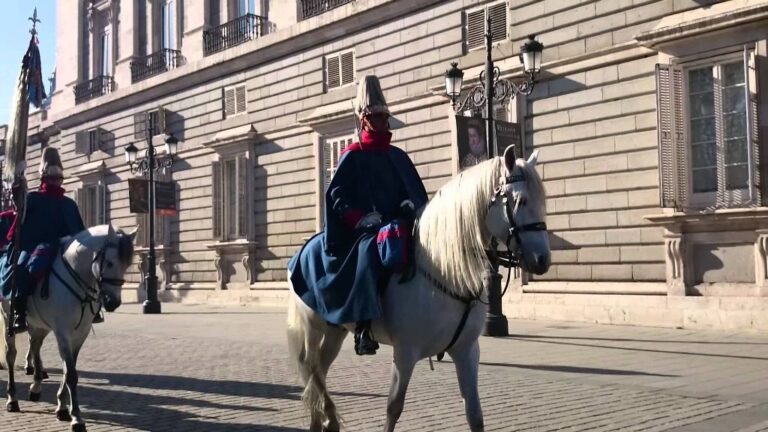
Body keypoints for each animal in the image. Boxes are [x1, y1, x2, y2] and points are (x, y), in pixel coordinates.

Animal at [0, 224, 136, 430]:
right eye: (110, 263)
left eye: (127, 265)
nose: (113, 302)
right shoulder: (63, 332)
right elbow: (70, 373)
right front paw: (76, 417)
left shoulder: (81, 333)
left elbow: (67, 369)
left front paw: (63, 407)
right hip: (7, 316)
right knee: (11, 355)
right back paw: (12, 399)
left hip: (39, 325)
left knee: (35, 346)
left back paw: (36, 386)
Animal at [288, 147, 552, 430]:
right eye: (520, 201)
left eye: (543, 200)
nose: (542, 260)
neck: (445, 271)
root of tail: (307, 246)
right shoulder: (405, 353)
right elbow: (394, 407)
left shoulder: (467, 351)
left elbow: (475, 414)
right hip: (313, 327)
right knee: (311, 367)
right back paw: (327, 414)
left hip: (336, 329)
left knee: (320, 368)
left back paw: (322, 418)